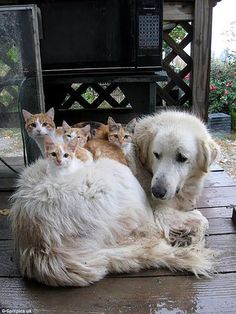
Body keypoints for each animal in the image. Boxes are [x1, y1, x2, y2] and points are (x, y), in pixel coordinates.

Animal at [135, 111, 219, 247]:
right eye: (156, 154)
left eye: (182, 158)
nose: (157, 192)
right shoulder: (161, 210)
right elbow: (203, 219)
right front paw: (192, 238)